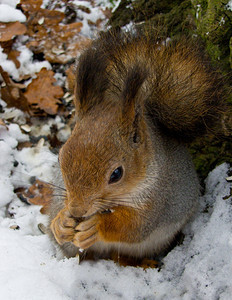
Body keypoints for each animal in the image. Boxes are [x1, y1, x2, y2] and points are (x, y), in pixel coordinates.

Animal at [47, 30, 227, 260]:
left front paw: (96, 226)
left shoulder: (157, 199)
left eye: (116, 174)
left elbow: (133, 227)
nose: (78, 211)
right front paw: (61, 222)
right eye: (60, 158)